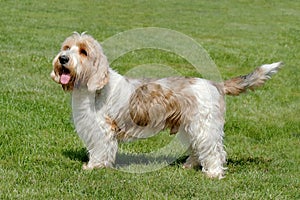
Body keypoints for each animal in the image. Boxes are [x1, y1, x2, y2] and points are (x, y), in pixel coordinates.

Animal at [50, 32, 282, 180]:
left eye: (83, 51)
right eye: (66, 47)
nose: (63, 58)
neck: (93, 89)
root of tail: (215, 84)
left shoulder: (102, 129)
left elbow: (100, 149)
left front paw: (94, 167)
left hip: (204, 126)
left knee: (214, 150)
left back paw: (214, 174)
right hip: (190, 126)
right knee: (198, 148)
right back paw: (189, 165)